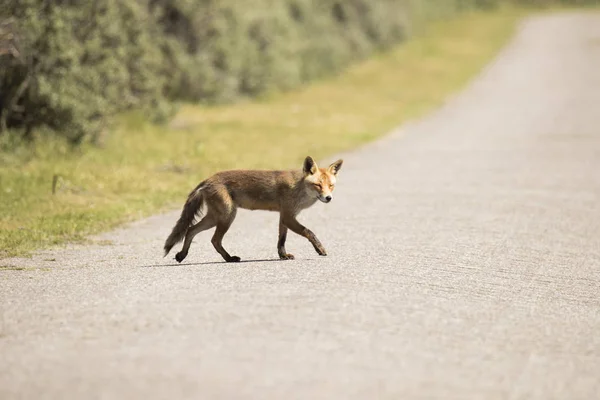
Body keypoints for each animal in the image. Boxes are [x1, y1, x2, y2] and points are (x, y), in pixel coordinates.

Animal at [164, 155, 344, 262]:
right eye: (318, 185)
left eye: (331, 186)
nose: (328, 198)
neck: (298, 188)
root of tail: (208, 179)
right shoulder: (288, 216)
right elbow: (309, 232)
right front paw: (320, 249)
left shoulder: (284, 216)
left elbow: (281, 240)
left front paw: (283, 255)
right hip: (227, 216)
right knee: (213, 239)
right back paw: (229, 258)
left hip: (215, 217)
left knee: (190, 230)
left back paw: (182, 255)